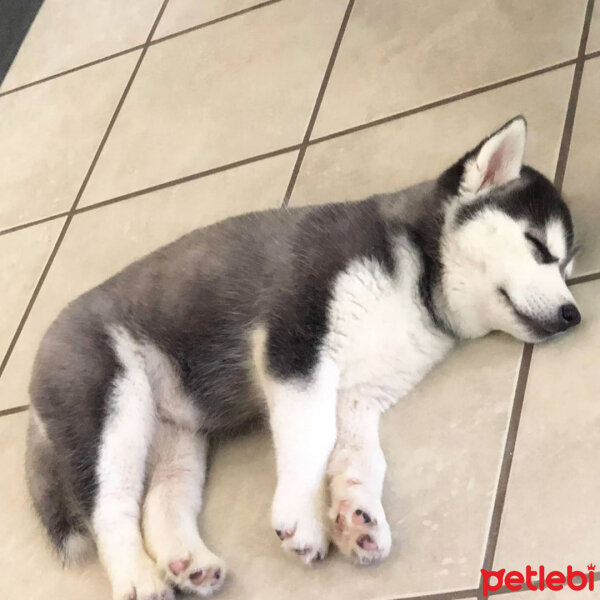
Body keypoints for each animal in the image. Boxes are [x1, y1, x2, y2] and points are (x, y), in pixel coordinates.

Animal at [25, 115, 580, 596]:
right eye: (537, 246)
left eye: (568, 267)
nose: (573, 314)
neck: (417, 280)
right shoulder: (298, 346)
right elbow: (312, 440)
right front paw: (303, 518)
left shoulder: (358, 397)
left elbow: (359, 455)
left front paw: (358, 515)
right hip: (111, 405)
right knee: (111, 509)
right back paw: (138, 579)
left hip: (177, 437)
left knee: (161, 501)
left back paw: (189, 562)